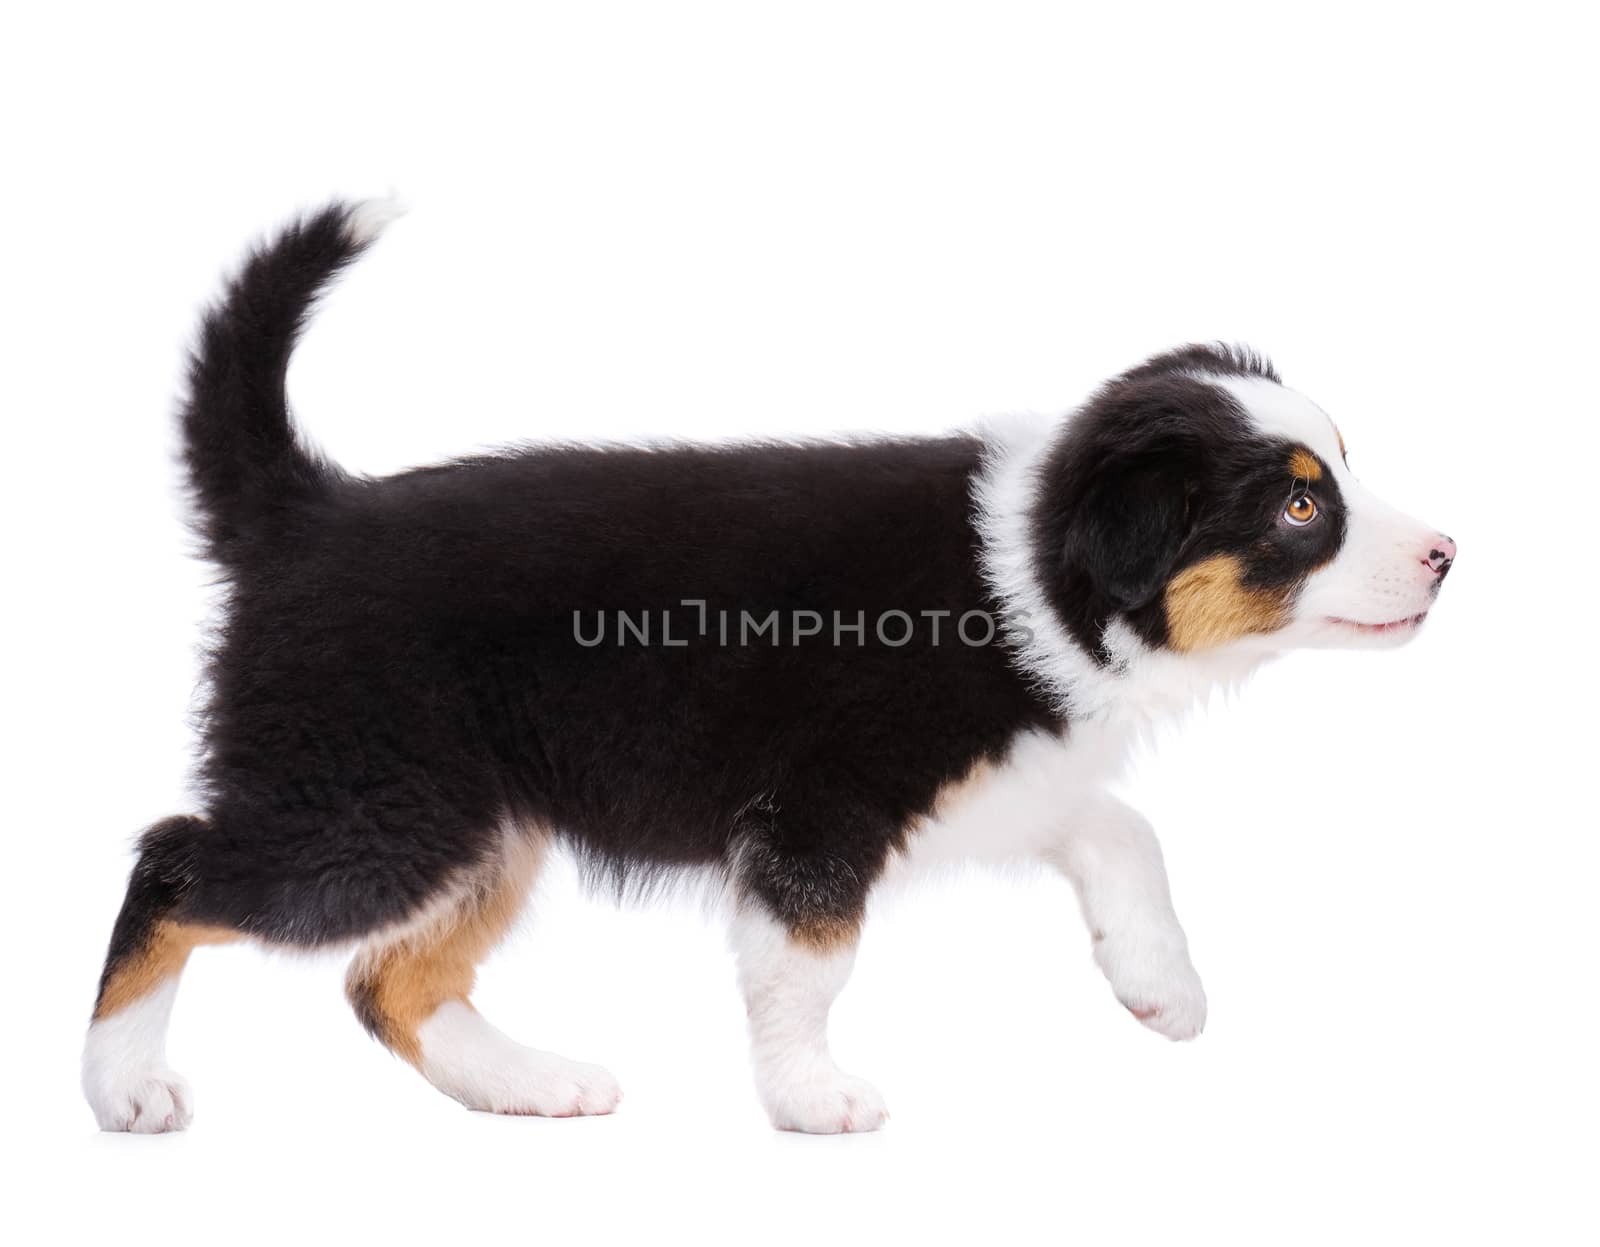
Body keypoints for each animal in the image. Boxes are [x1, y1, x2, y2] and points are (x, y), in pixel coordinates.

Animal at [84, 202, 1465, 1133]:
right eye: (1299, 507)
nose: (1448, 553)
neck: (1034, 562)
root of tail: (310, 513)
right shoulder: (816, 807)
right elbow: (807, 962)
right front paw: (812, 1096)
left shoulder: (1004, 774)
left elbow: (1123, 827)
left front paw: (1158, 984)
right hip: (374, 800)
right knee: (175, 864)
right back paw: (123, 1083)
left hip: (477, 818)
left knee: (388, 977)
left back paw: (532, 1081)